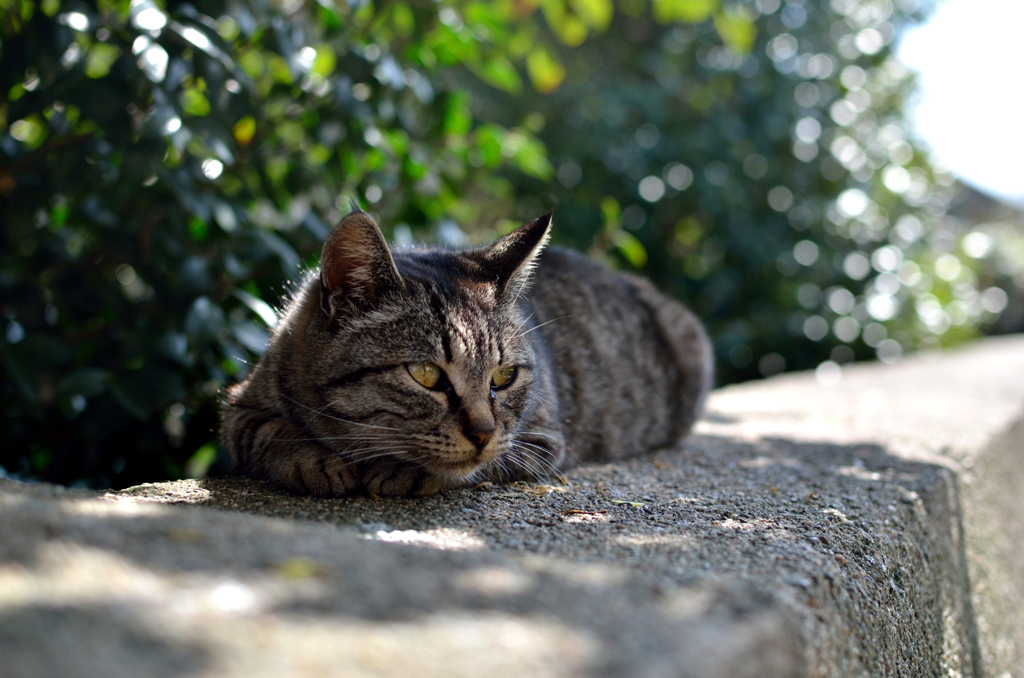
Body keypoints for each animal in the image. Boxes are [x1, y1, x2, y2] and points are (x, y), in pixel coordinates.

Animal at [218, 206, 712, 499]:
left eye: (503, 377)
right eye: (425, 374)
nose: (483, 433)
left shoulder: (542, 439)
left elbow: (486, 463)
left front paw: (405, 471)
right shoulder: (239, 405)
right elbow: (269, 431)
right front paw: (314, 459)